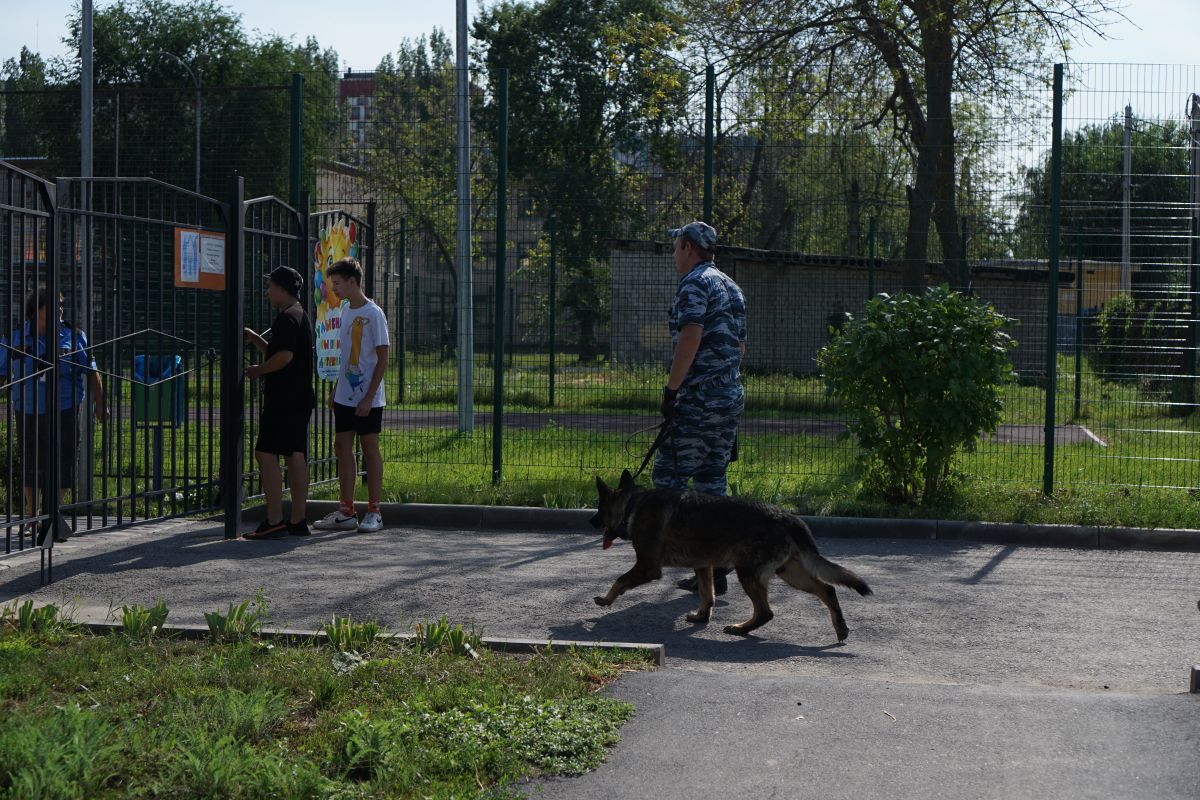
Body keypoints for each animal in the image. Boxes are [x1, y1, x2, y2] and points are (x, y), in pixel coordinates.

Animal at [590, 472, 873, 642]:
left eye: (599, 508)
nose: (591, 521)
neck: (632, 504)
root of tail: (787, 517)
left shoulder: (647, 567)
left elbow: (620, 580)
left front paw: (606, 600)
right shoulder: (703, 566)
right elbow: (707, 595)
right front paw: (701, 616)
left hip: (748, 573)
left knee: (766, 612)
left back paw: (741, 628)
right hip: (790, 574)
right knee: (828, 590)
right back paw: (840, 626)